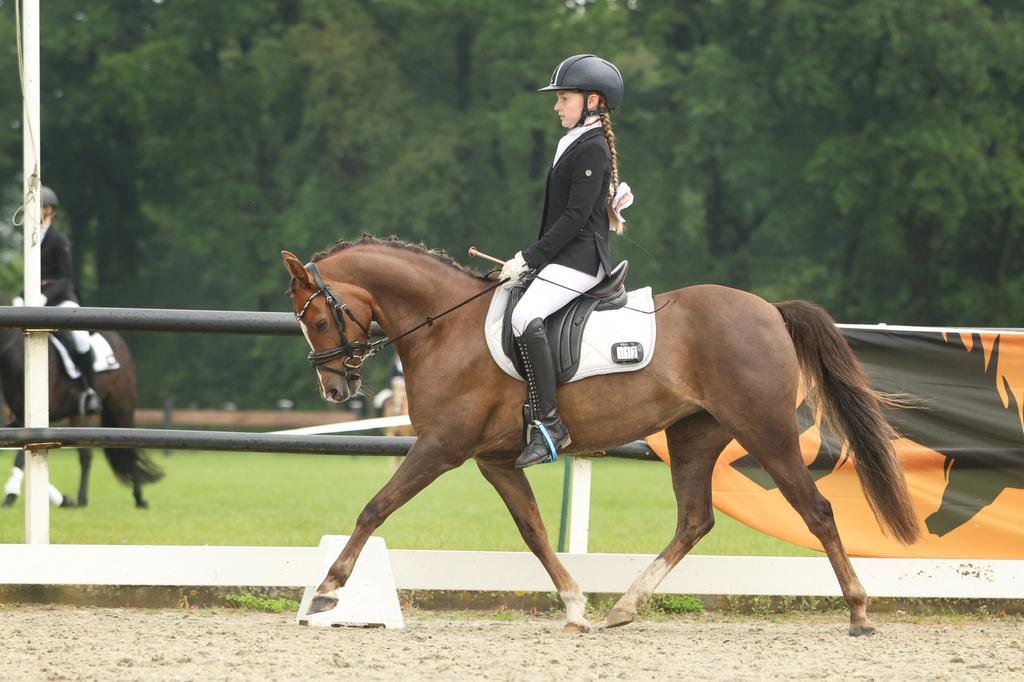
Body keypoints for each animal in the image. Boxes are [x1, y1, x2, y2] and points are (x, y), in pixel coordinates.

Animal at [0, 328, 164, 508]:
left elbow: (20, 457)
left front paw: (11, 495)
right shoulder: (19, 417)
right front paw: (61, 499)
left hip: (119, 406)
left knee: (118, 452)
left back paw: (136, 498)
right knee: (89, 454)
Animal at [282, 235, 919, 636]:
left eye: (317, 318)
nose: (334, 389)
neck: (448, 326)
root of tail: (769, 311)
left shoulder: (442, 447)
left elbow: (376, 507)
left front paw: (328, 590)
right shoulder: (495, 460)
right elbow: (535, 532)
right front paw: (575, 605)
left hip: (764, 430)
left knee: (817, 510)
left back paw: (860, 612)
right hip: (694, 437)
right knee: (695, 520)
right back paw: (625, 607)